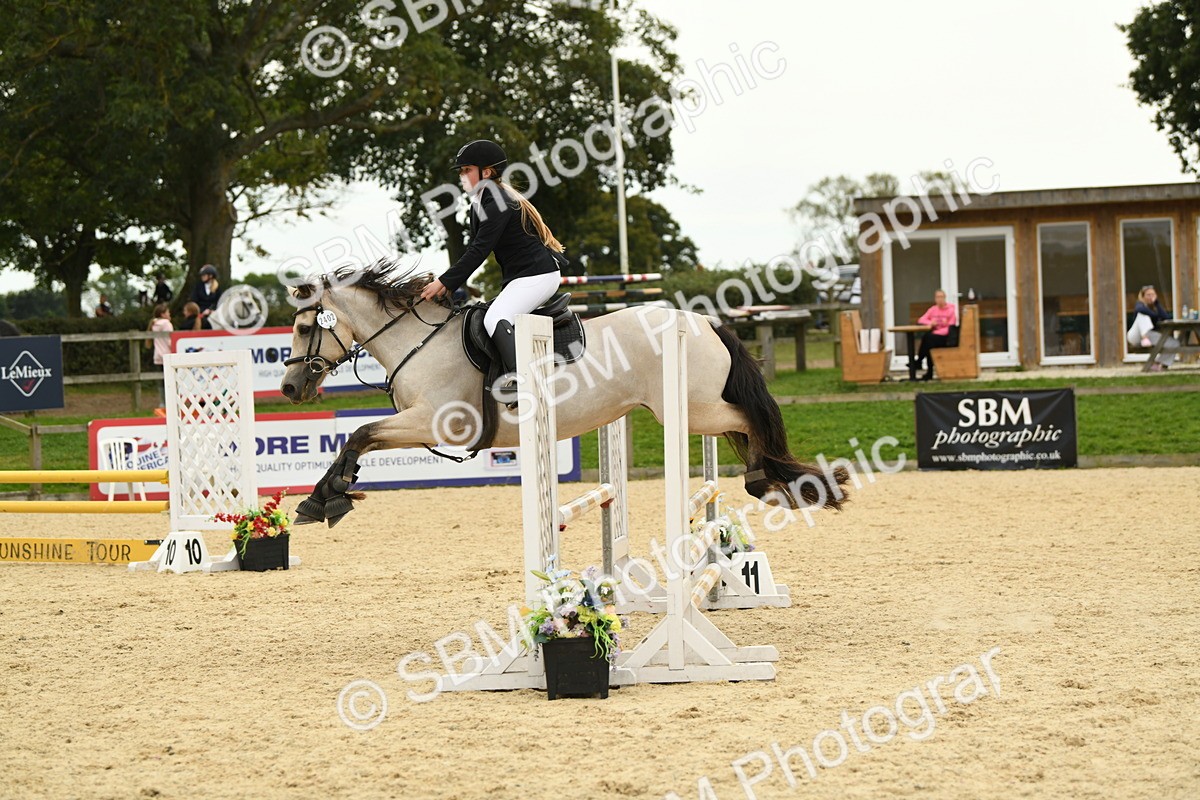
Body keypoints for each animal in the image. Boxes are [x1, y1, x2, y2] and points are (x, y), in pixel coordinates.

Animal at [280, 261, 849, 527]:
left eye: (306, 326)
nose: (289, 388)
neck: (419, 342)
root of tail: (705, 322)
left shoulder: (438, 422)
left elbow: (359, 431)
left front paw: (325, 498)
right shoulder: (418, 425)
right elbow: (359, 437)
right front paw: (327, 496)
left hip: (693, 411)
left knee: (749, 419)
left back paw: (763, 479)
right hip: (695, 410)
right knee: (747, 423)